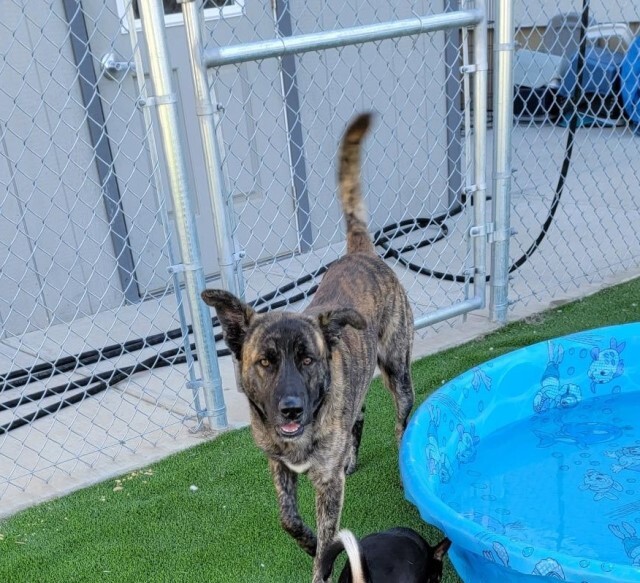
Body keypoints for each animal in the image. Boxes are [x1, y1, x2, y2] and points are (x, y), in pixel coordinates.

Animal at [202, 114, 418, 583]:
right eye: (265, 361)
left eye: (307, 359)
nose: (291, 409)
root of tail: (361, 251)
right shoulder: (277, 464)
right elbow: (287, 519)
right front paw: (303, 539)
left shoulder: (326, 485)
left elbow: (326, 543)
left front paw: (321, 561)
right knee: (359, 411)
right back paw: (352, 456)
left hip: (398, 370)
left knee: (400, 418)